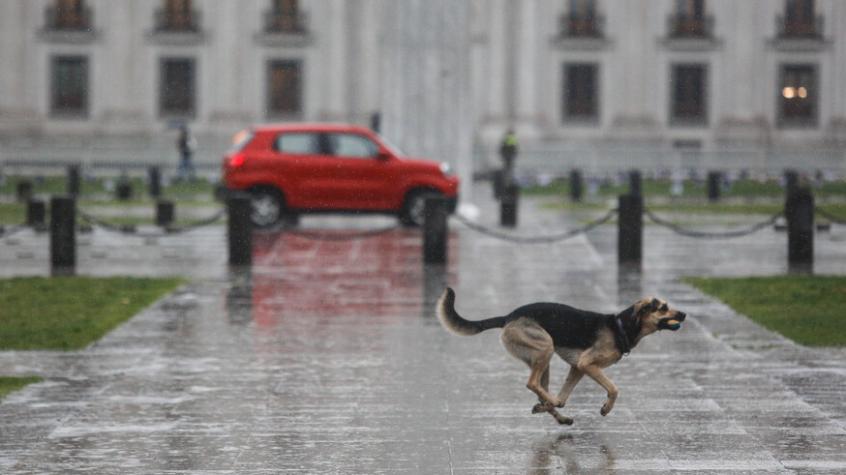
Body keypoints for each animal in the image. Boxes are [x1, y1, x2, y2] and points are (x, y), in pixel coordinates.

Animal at [438, 288, 688, 426]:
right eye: (663, 307)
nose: (685, 314)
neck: (621, 326)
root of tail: (508, 316)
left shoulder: (578, 368)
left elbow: (564, 396)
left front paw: (551, 404)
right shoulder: (587, 364)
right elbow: (614, 388)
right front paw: (606, 408)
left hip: (543, 359)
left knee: (542, 390)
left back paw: (554, 412)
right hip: (545, 347)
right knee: (532, 383)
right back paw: (550, 405)